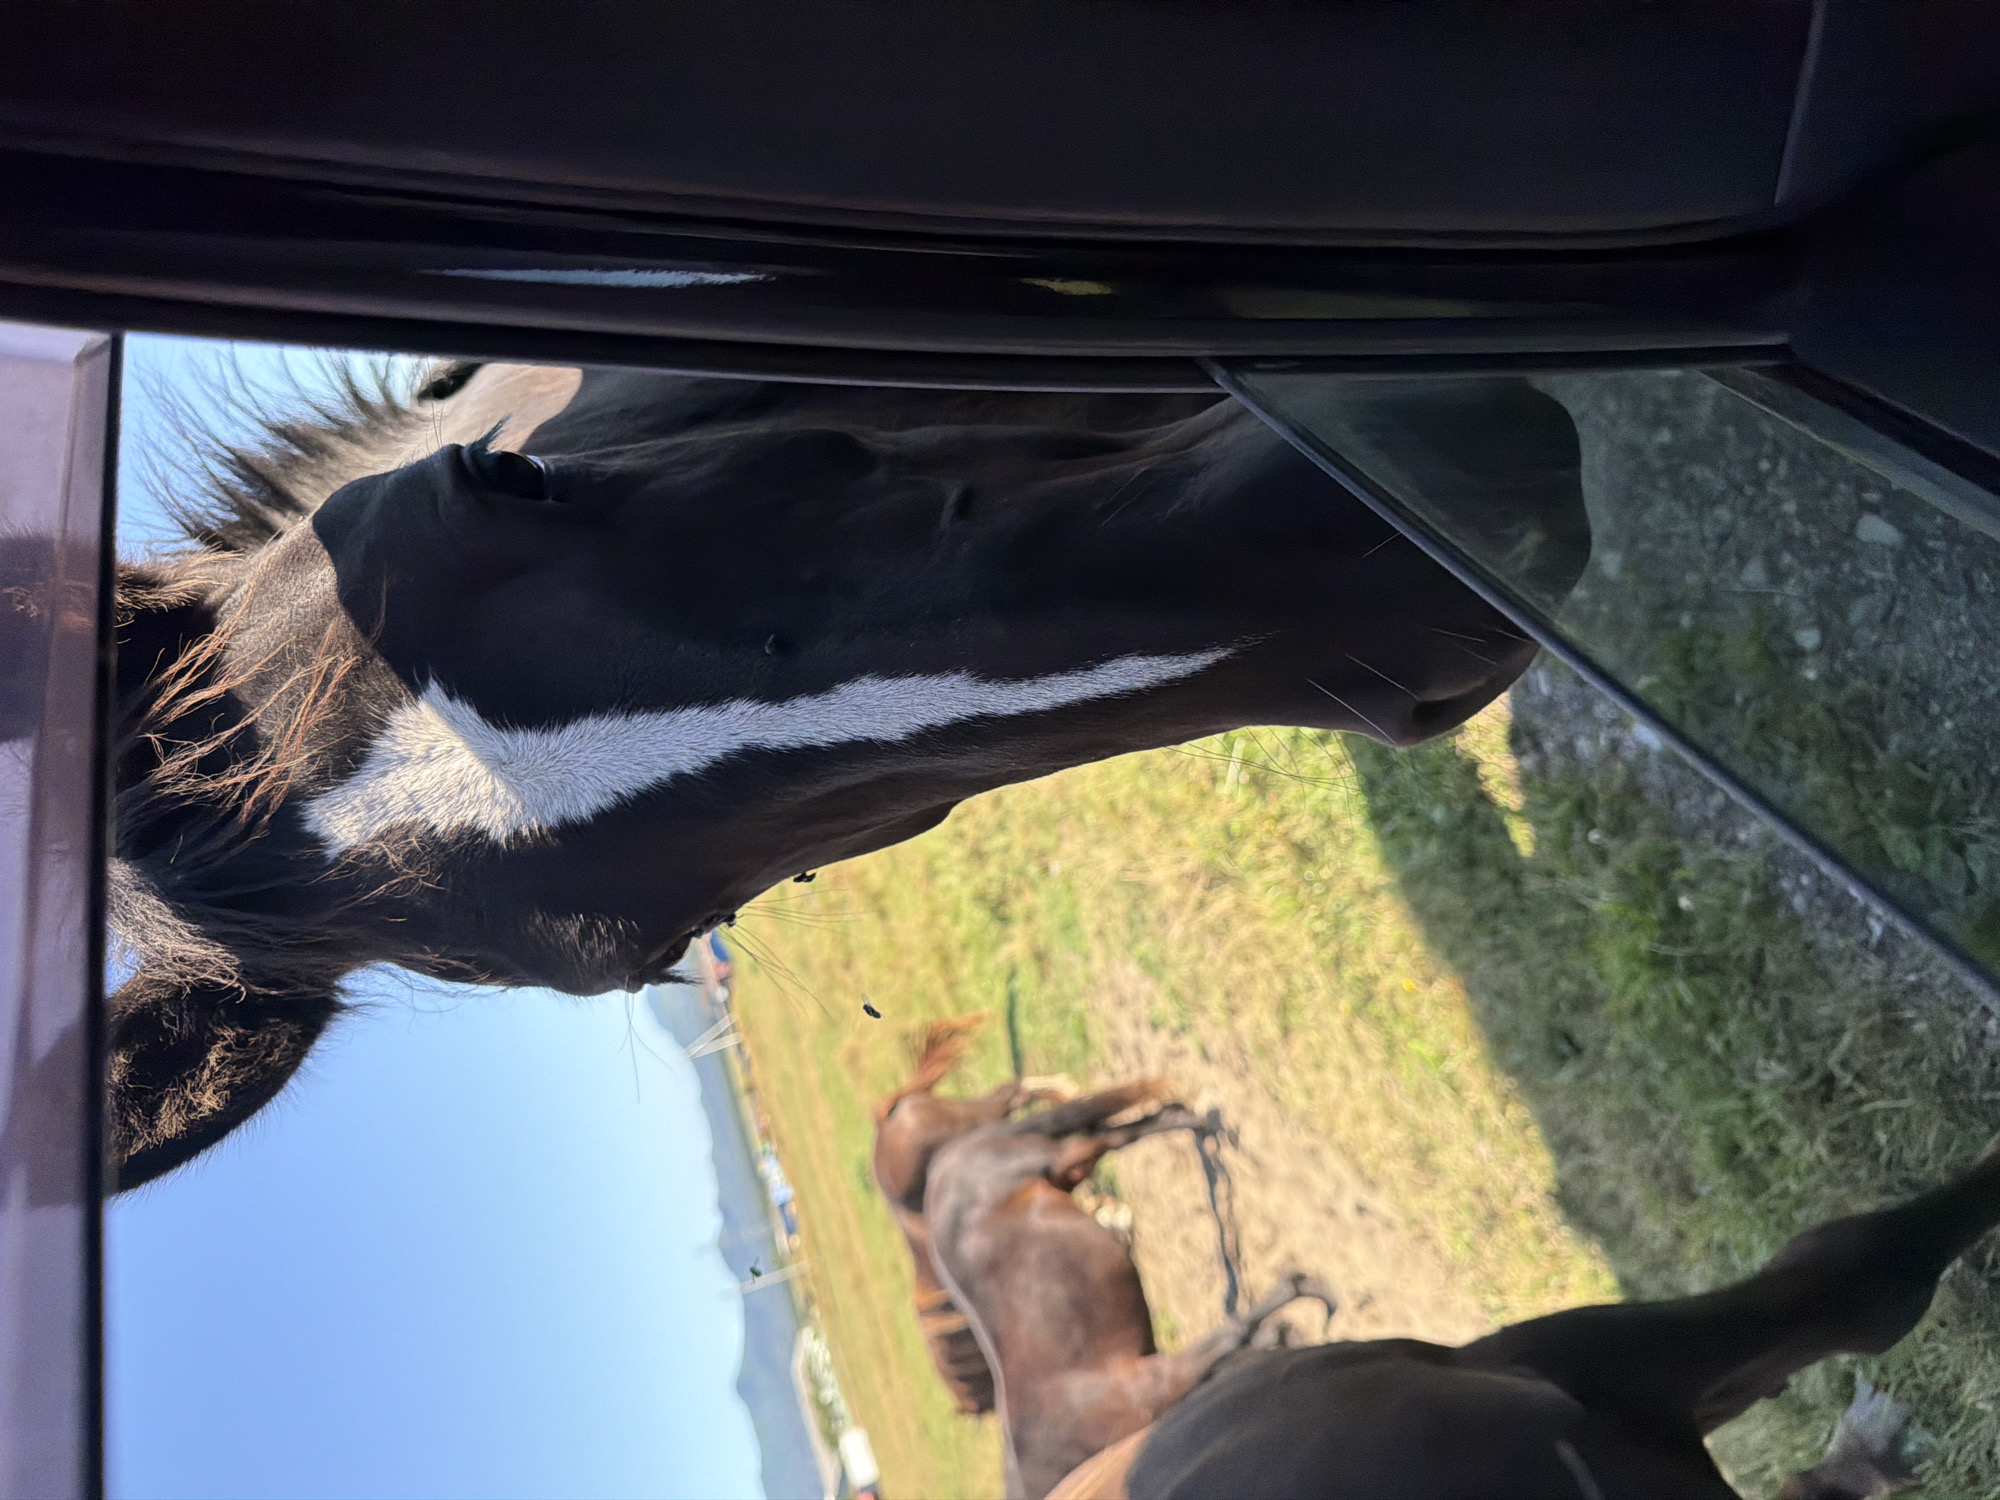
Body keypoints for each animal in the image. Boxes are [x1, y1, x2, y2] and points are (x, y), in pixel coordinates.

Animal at [924, 1081, 1332, 1500]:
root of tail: (951, 1158)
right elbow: (1252, 1341)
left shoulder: (1160, 1379)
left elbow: (1238, 1331)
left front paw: (1310, 1291)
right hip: (1069, 1172)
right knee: (1127, 1131)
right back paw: (1196, 1125)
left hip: (1061, 1161)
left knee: (1107, 1135)